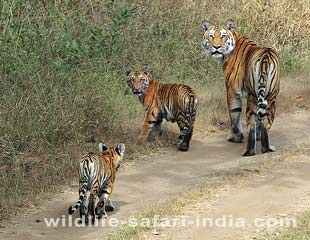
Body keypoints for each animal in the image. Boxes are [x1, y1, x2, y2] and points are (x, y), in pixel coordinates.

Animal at [201, 19, 280, 157]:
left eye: (223, 36)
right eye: (211, 36)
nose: (216, 47)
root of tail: (266, 56)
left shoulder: (232, 91)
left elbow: (234, 114)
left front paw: (236, 137)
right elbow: (259, 120)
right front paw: (258, 137)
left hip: (252, 97)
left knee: (251, 124)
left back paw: (249, 151)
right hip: (271, 96)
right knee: (266, 122)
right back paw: (267, 148)